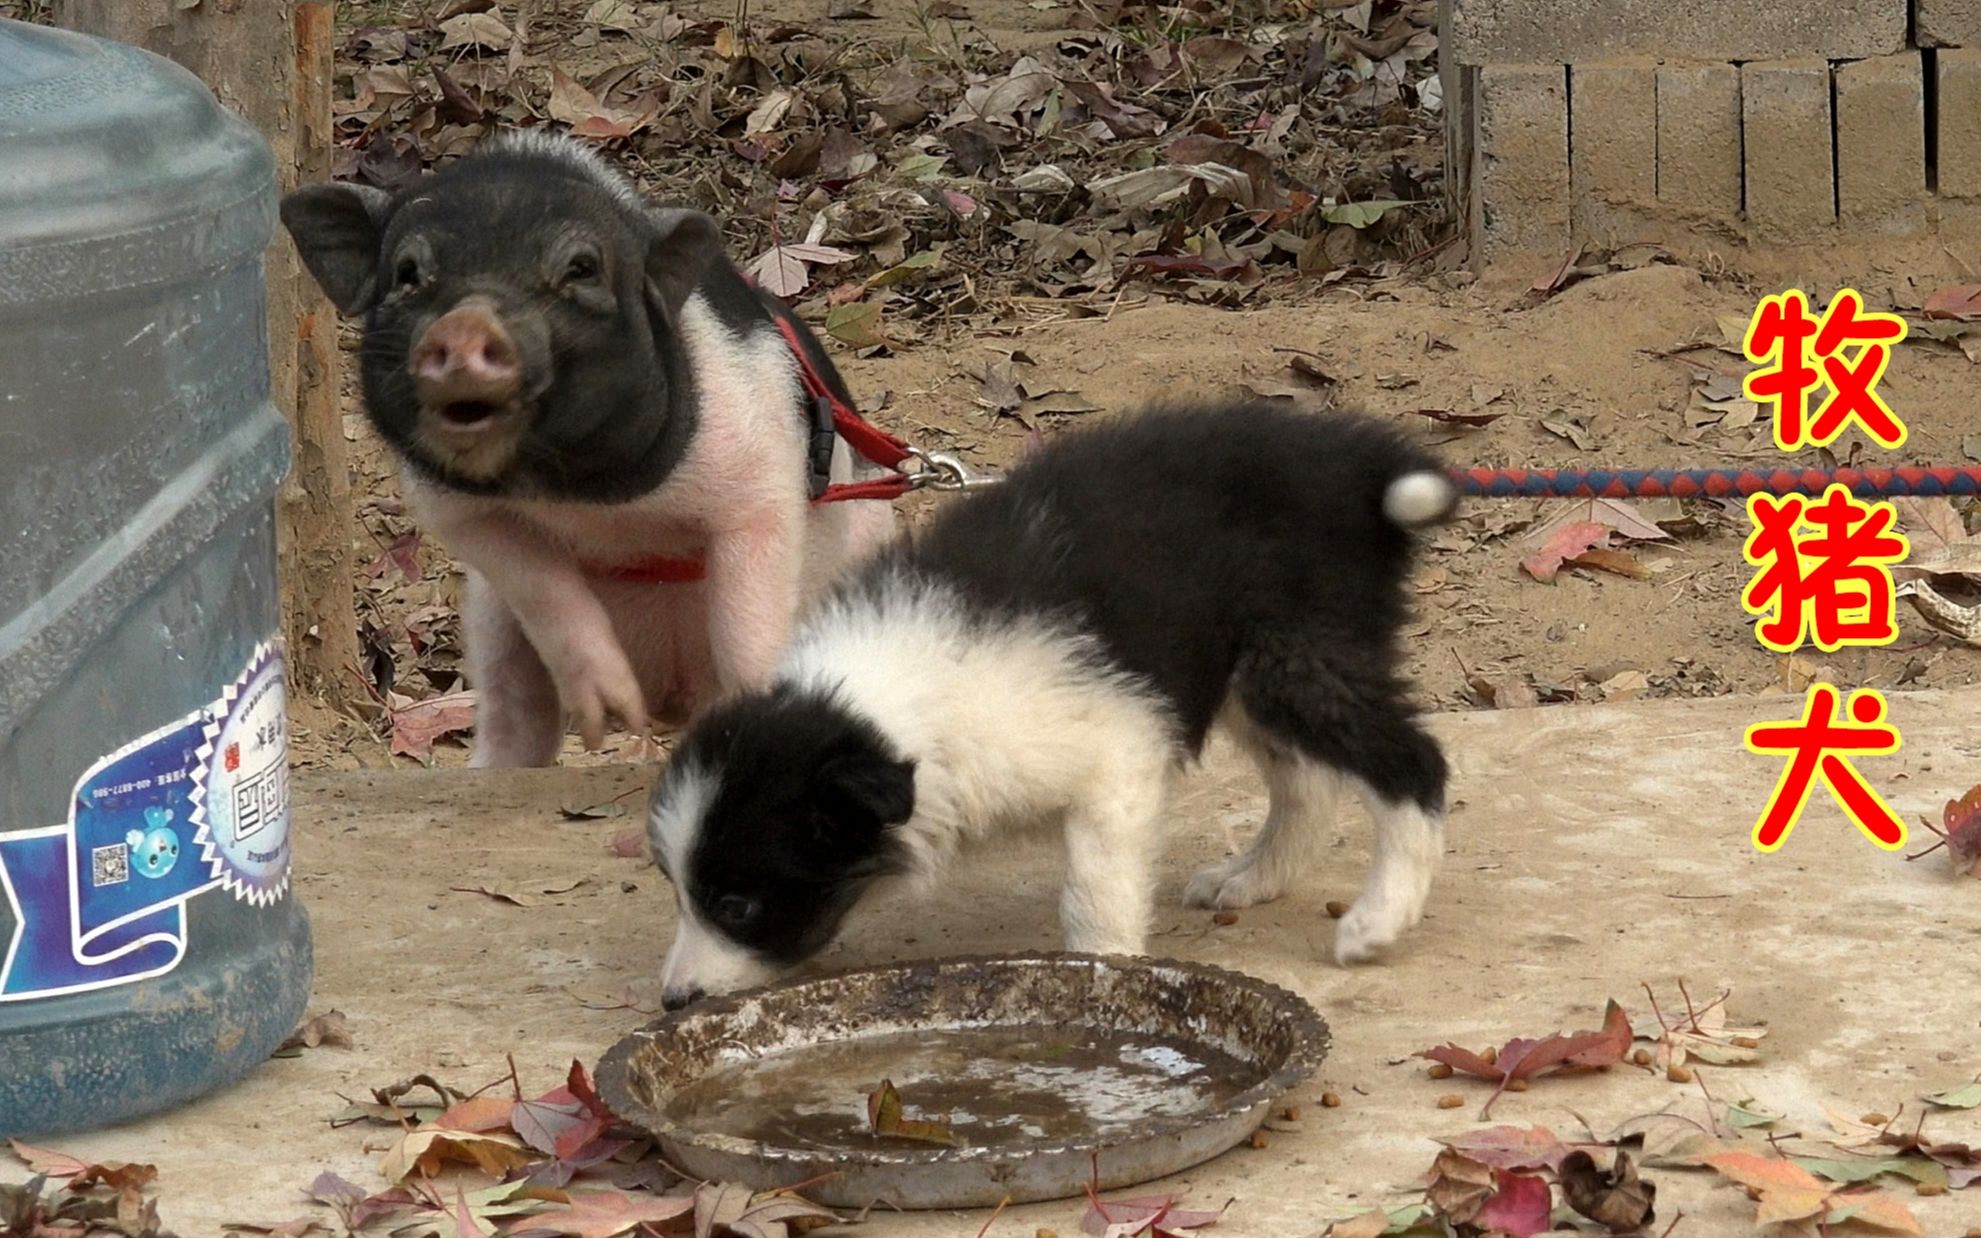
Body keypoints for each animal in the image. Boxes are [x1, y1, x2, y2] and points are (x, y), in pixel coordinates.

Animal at [645, 400, 1458, 1010]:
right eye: (678, 893)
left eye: (737, 906)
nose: (674, 1001)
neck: (883, 704)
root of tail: (1367, 467)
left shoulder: (1117, 748)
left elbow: (1096, 895)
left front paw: (1107, 982)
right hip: (1248, 669)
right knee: (1308, 781)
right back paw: (1251, 878)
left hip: (1295, 653)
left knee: (1413, 763)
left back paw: (1377, 919)